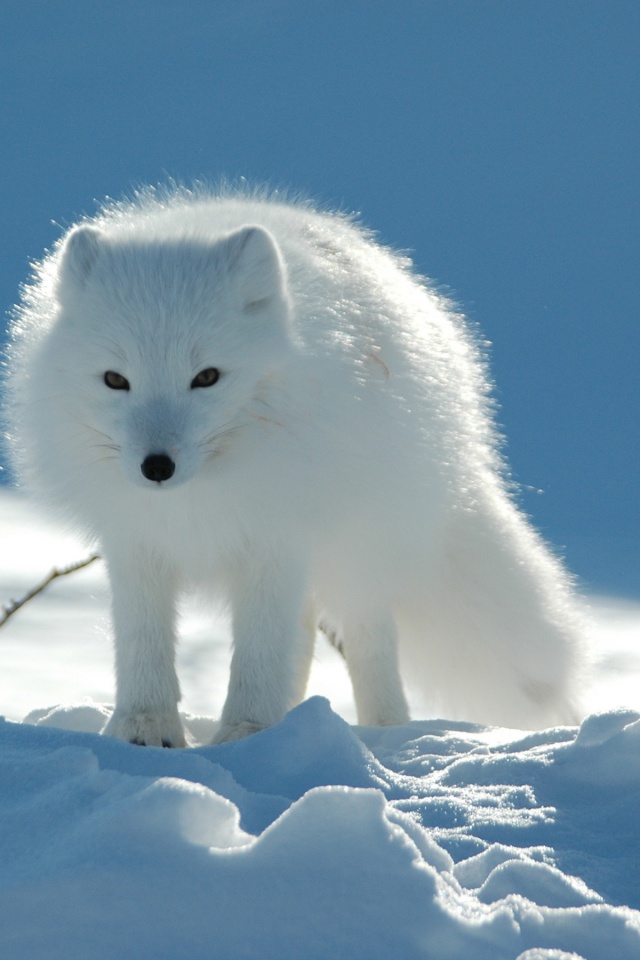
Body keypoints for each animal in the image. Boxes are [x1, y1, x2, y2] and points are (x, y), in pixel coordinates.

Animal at [5, 186, 584, 744]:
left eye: (207, 377)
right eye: (115, 380)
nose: (157, 467)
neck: (198, 499)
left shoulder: (276, 536)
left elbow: (261, 651)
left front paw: (247, 733)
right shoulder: (135, 541)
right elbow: (142, 642)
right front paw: (144, 729)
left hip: (359, 549)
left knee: (367, 639)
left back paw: (384, 732)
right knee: (303, 638)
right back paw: (295, 717)